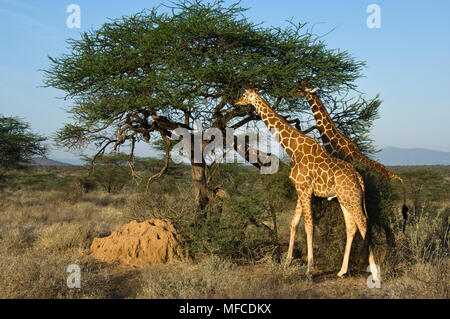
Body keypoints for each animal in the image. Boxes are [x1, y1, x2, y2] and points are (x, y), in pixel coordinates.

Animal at [236, 87, 380, 280]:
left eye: (244, 95)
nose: (235, 102)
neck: (293, 149)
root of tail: (359, 177)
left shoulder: (305, 190)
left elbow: (309, 227)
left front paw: (309, 270)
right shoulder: (300, 189)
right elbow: (294, 224)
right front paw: (287, 263)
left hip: (352, 197)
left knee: (363, 224)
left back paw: (374, 273)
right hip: (344, 199)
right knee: (352, 227)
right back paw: (342, 271)